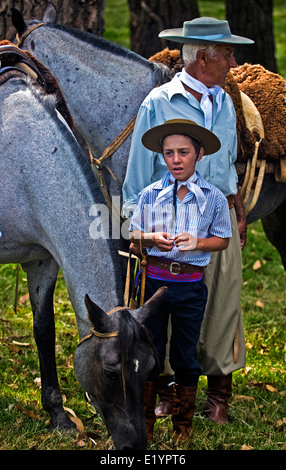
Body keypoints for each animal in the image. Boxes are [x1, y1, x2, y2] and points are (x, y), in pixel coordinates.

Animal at [0, 45, 165, 452]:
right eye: (110, 371)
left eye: (150, 368)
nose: (135, 445)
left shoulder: (42, 259)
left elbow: (44, 329)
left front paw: (57, 413)